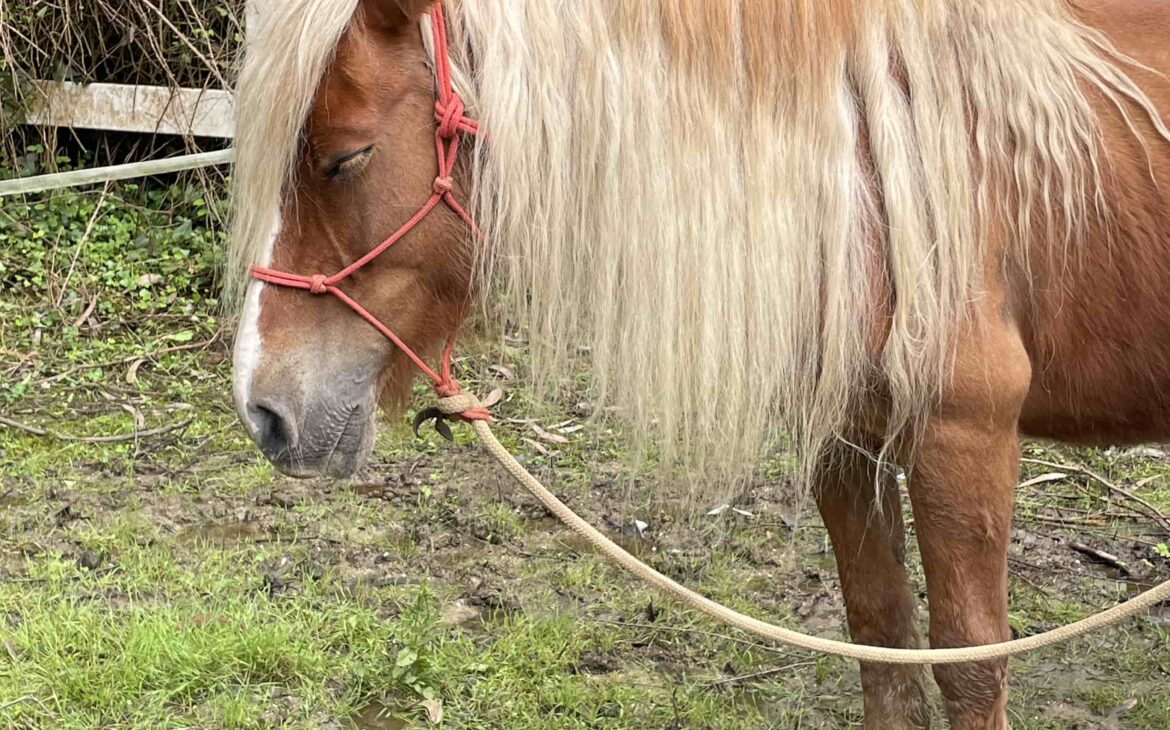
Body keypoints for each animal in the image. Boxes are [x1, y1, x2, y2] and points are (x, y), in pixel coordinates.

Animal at [225, 2, 1170, 725]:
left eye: (347, 156)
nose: (263, 411)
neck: (867, 172)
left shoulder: (963, 443)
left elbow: (969, 663)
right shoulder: (845, 442)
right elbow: (882, 636)